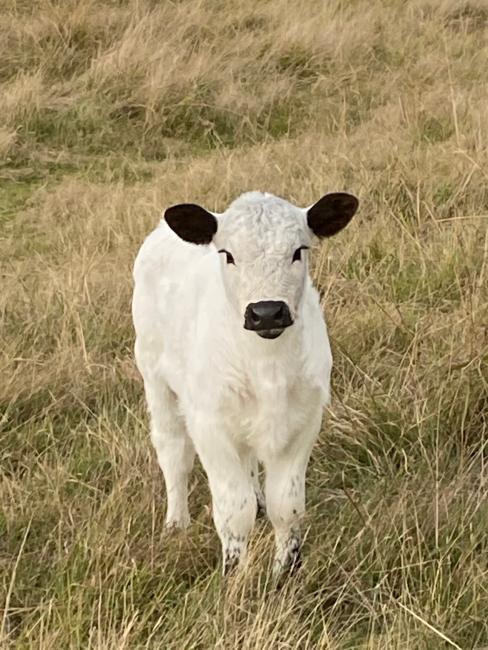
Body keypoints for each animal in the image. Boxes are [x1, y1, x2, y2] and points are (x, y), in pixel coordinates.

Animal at [132, 190, 358, 577]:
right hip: (154, 375)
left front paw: (286, 572)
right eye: (227, 254)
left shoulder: (304, 421)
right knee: (172, 450)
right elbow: (234, 512)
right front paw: (233, 573)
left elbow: (288, 506)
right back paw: (176, 522)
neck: (267, 367)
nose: (266, 312)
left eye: (299, 251)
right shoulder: (210, 426)